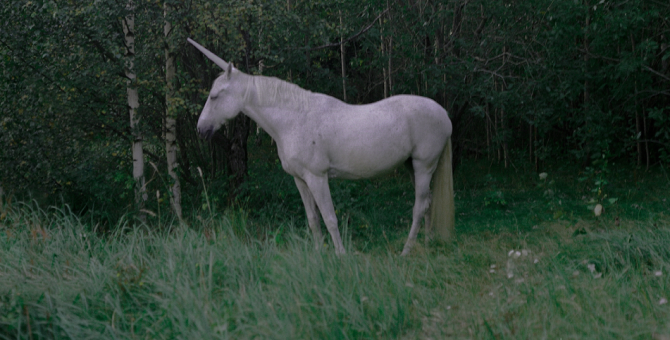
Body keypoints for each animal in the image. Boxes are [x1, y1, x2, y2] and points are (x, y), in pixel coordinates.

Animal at [189, 37, 456, 255]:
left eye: (214, 95)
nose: (201, 130)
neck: (294, 119)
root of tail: (444, 114)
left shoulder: (317, 177)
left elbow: (329, 218)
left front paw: (341, 256)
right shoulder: (300, 179)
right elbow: (313, 219)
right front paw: (319, 255)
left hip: (423, 166)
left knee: (419, 207)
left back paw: (406, 251)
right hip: (412, 167)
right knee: (428, 203)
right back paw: (427, 244)